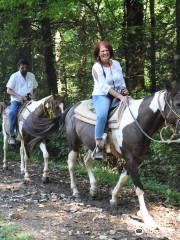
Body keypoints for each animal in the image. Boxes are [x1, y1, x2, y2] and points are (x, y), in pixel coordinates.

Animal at [61, 81, 179, 228]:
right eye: (178, 104)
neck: (137, 121)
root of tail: (72, 107)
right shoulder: (131, 159)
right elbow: (139, 188)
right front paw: (147, 218)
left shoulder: (136, 159)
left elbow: (123, 178)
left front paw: (113, 198)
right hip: (73, 143)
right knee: (71, 164)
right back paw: (75, 191)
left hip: (93, 145)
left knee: (87, 160)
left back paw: (93, 189)